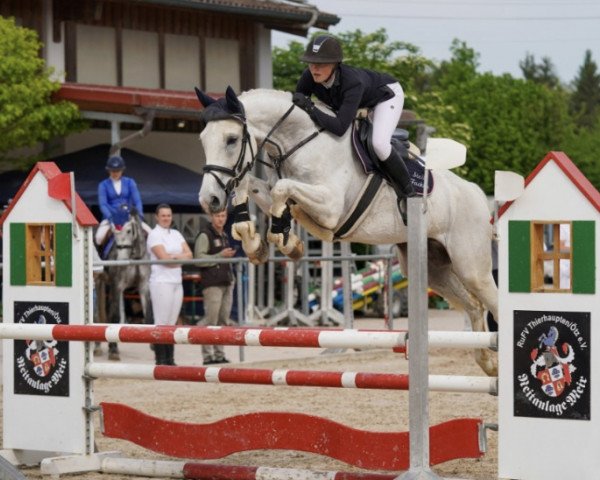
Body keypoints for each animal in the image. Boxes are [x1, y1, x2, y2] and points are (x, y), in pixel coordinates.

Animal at [97, 211, 151, 360]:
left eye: (129, 231)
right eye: (115, 235)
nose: (120, 260)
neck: (135, 256)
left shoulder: (143, 286)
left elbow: (148, 315)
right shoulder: (117, 285)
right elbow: (115, 316)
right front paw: (113, 350)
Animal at [196, 88, 496, 376]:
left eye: (232, 139)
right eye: (202, 139)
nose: (209, 200)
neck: (299, 143)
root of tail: (479, 195)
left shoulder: (330, 207)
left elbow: (282, 189)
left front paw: (283, 237)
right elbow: (253, 185)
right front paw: (257, 241)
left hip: (471, 267)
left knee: (491, 302)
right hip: (434, 268)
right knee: (474, 305)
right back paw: (488, 363)